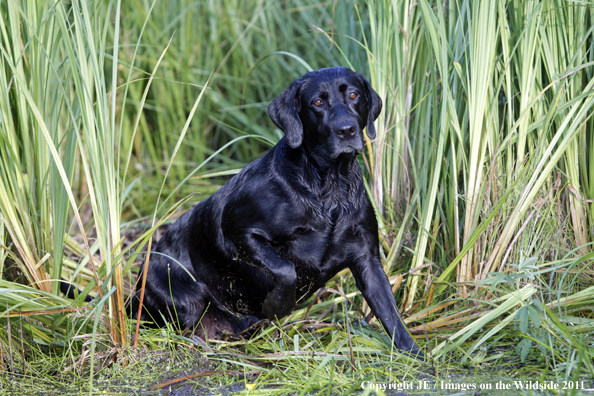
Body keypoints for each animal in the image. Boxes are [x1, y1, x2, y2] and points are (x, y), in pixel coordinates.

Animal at [132, 65, 424, 358]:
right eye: (317, 103)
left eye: (353, 95)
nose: (346, 130)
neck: (329, 188)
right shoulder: (237, 233)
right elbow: (285, 268)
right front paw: (278, 305)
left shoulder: (368, 259)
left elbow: (390, 313)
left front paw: (416, 355)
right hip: (183, 298)